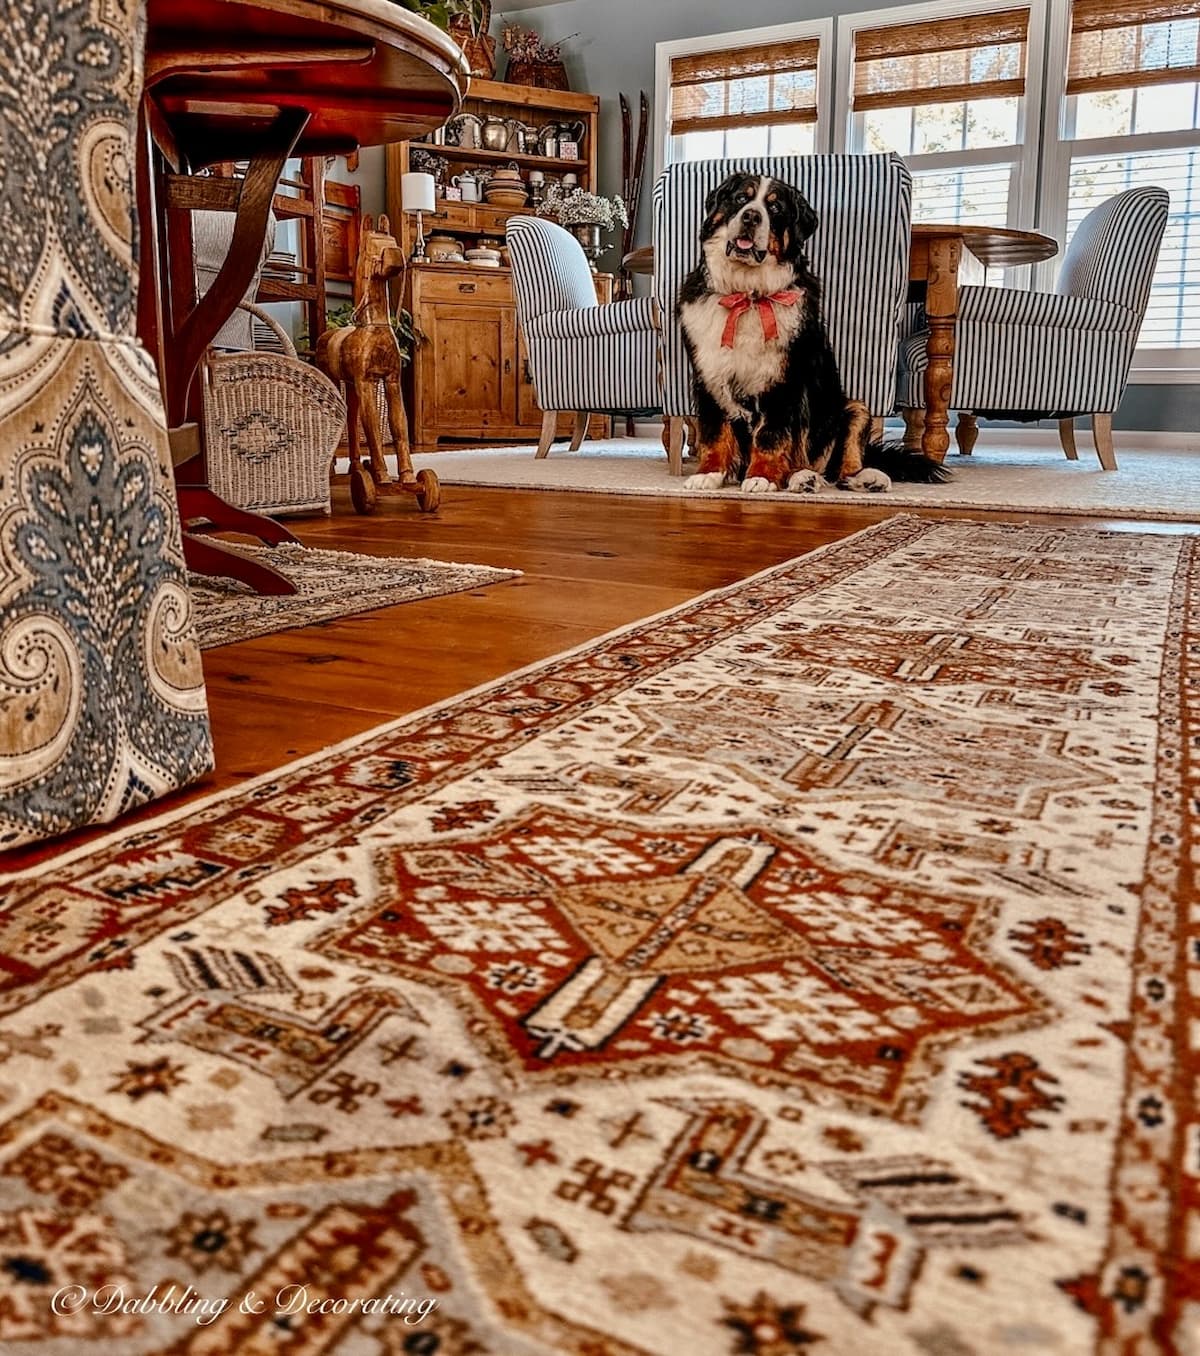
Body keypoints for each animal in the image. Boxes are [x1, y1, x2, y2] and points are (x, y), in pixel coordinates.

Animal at [675, 172, 943, 496]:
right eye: (740, 199)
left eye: (775, 208)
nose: (751, 216)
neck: (748, 295)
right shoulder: (709, 376)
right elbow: (714, 432)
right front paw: (709, 474)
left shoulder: (783, 382)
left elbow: (771, 435)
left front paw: (762, 477)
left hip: (854, 408)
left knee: (839, 466)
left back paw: (850, 478)